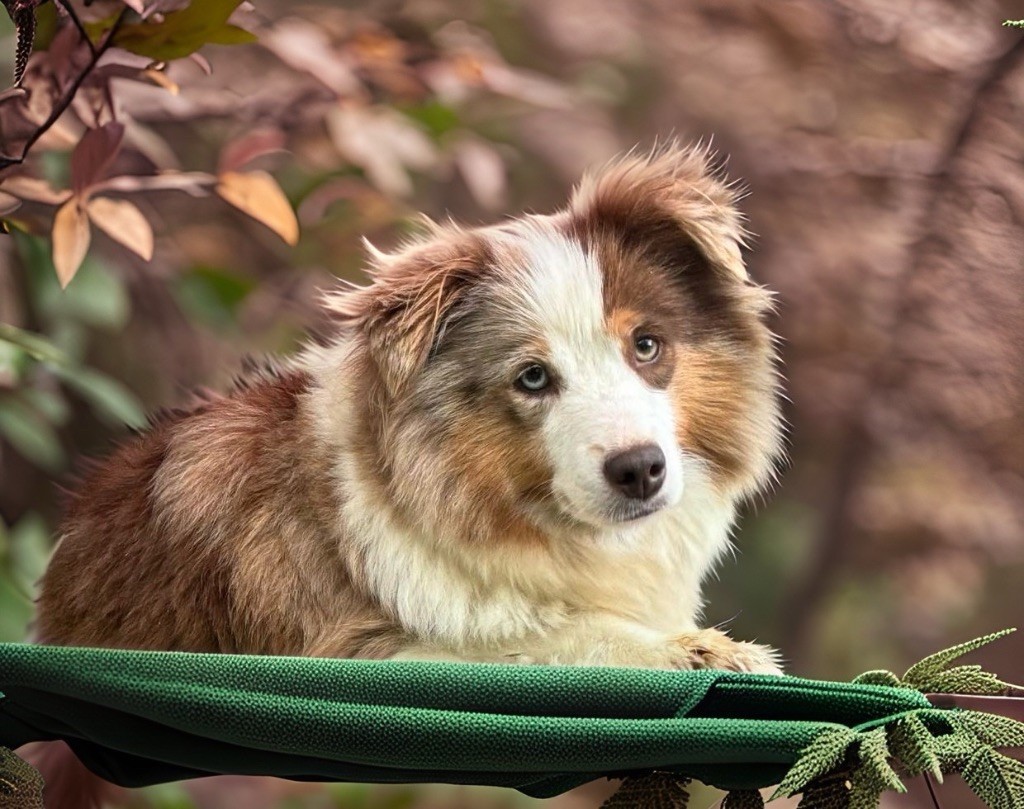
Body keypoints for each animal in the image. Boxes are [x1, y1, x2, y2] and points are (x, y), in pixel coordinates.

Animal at [32, 142, 782, 675]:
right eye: (533, 377)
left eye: (646, 345)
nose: (640, 470)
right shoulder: (352, 645)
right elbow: (544, 641)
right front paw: (700, 648)